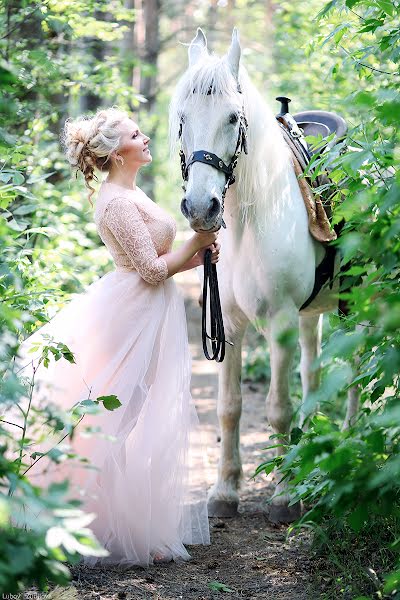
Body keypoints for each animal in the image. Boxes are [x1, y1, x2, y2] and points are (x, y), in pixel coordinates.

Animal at [169, 28, 356, 520]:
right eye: (181, 118)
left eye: (234, 117)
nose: (201, 208)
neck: (252, 222)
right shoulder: (229, 325)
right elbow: (229, 407)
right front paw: (224, 492)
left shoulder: (282, 322)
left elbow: (278, 409)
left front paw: (285, 497)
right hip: (314, 316)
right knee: (314, 375)